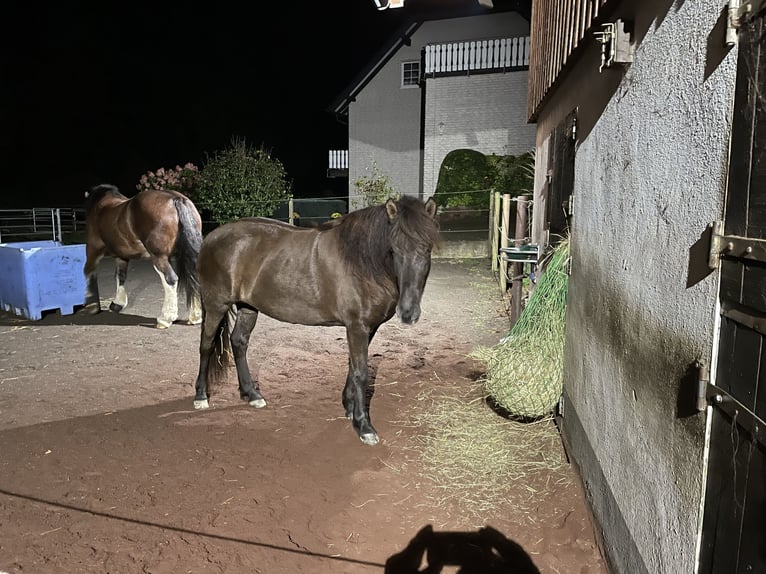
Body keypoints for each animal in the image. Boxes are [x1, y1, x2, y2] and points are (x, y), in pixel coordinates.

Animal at [83, 184, 204, 328]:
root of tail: (176, 199)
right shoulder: (121, 256)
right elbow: (120, 276)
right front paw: (117, 304)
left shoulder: (93, 250)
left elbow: (88, 272)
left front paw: (92, 306)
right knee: (193, 276)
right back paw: (195, 317)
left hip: (159, 257)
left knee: (171, 279)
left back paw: (165, 319)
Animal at [192, 197, 440, 446]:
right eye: (394, 250)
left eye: (427, 249)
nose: (408, 312)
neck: (361, 262)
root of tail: (211, 238)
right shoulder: (357, 327)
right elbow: (361, 372)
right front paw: (363, 426)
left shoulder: (367, 328)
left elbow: (352, 366)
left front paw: (349, 408)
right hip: (216, 305)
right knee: (206, 345)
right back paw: (201, 396)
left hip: (248, 307)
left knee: (239, 342)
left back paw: (251, 394)